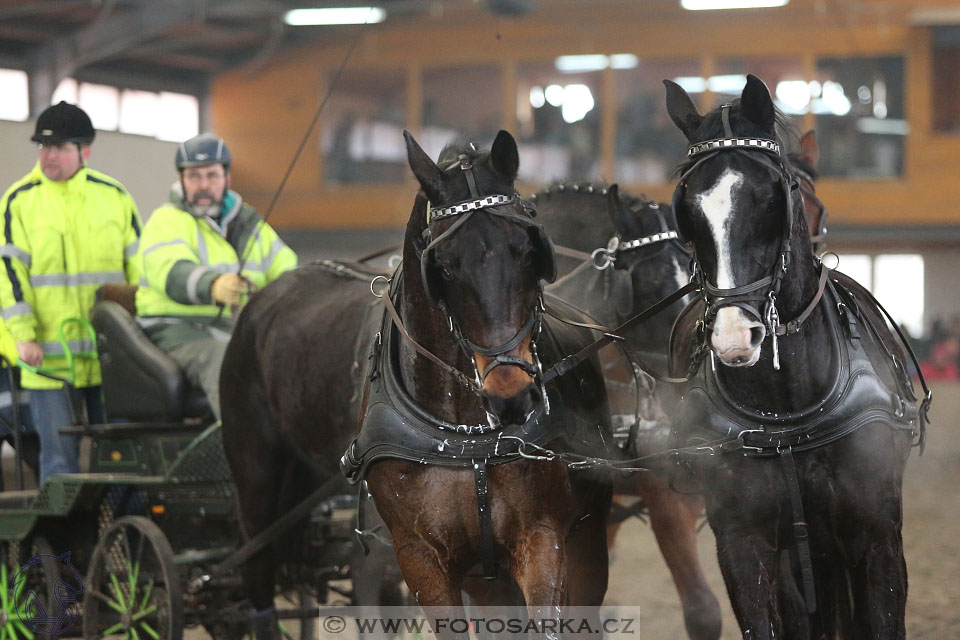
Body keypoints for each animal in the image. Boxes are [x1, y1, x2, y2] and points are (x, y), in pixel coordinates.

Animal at [221, 130, 612, 636]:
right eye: (444, 265)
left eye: (528, 251)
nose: (511, 393)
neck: (464, 436)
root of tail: (260, 304)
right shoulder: (419, 555)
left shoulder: (543, 536)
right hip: (256, 475)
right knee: (258, 561)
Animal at [664, 76, 928, 640]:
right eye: (687, 210)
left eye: (770, 197)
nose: (735, 337)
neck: (787, 411)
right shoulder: (743, 541)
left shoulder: (877, 537)